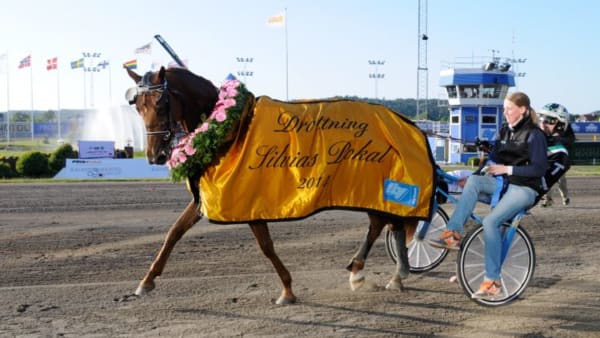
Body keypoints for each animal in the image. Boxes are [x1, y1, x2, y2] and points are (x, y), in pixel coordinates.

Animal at [124, 65, 434, 304]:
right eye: (138, 106)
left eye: (162, 103)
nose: (154, 155)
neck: (229, 128)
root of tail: (407, 122)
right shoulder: (208, 200)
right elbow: (174, 233)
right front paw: (146, 281)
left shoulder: (248, 201)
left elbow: (266, 246)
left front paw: (287, 289)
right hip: (375, 190)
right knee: (383, 223)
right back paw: (375, 273)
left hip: (383, 187)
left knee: (387, 223)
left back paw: (385, 274)